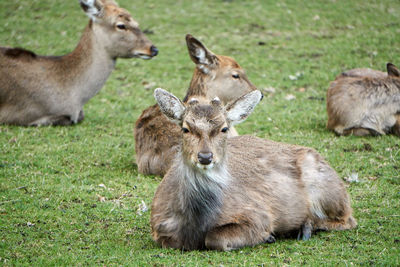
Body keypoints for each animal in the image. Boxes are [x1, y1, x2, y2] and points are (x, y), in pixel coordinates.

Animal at [150, 89, 356, 252]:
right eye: (185, 128)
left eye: (224, 128)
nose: (205, 156)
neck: (195, 221)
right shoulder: (158, 227)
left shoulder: (258, 214)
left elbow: (215, 238)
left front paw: (269, 236)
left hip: (327, 190)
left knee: (348, 220)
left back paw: (304, 228)